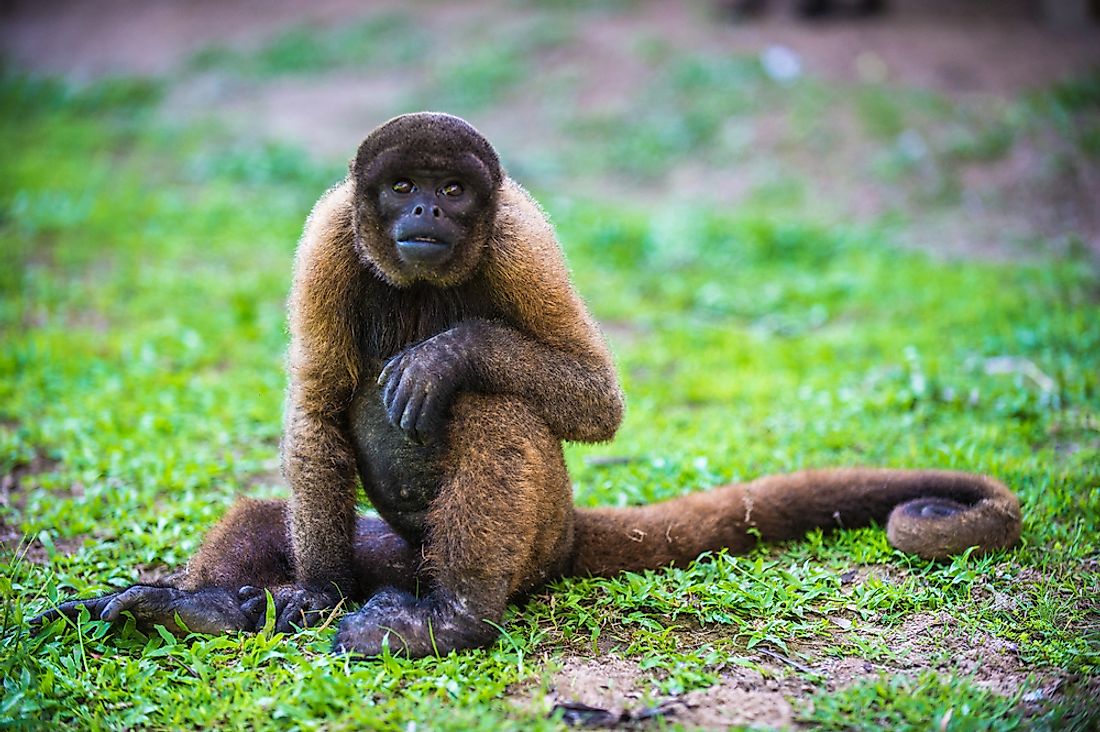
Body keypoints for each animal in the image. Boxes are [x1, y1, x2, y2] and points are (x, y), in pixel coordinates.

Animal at [27, 112, 1020, 656]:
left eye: (453, 190)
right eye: (402, 187)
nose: (428, 209)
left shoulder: (519, 238)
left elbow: (594, 397)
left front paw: (446, 354)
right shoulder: (325, 236)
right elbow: (313, 405)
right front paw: (306, 591)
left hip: (532, 545)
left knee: (492, 408)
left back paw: (454, 619)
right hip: (393, 554)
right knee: (275, 521)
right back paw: (199, 610)